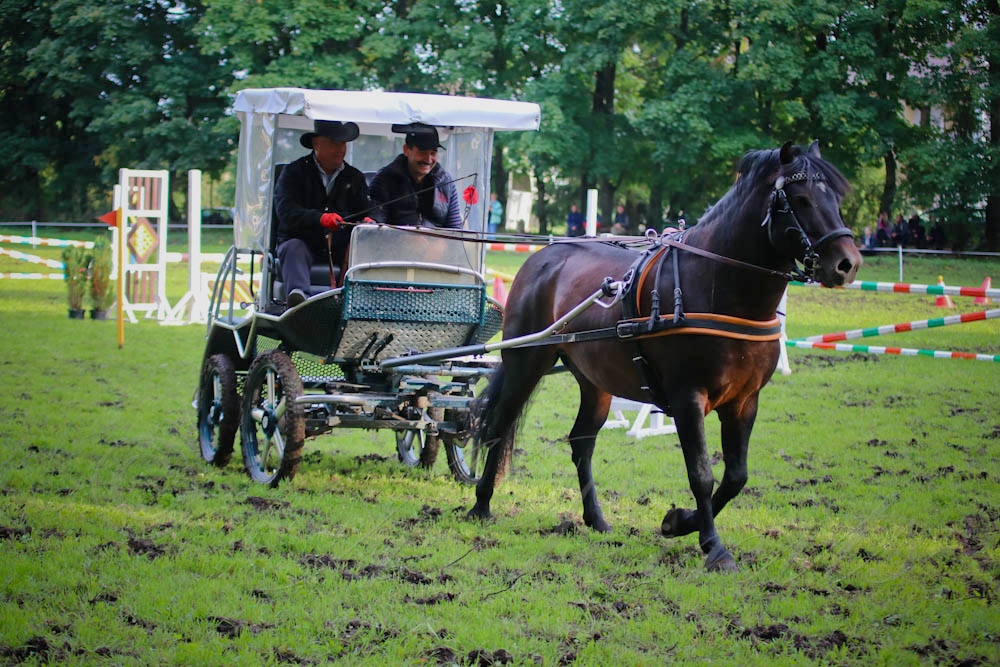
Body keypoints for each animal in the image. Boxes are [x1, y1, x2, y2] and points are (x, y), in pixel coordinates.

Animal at [468, 141, 863, 572]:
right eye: (802, 199)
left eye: (837, 199)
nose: (848, 264)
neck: (716, 284)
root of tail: (545, 256)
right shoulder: (688, 397)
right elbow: (702, 474)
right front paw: (714, 547)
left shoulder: (745, 401)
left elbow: (736, 476)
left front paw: (681, 522)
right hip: (526, 362)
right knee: (500, 426)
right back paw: (481, 505)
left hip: (595, 381)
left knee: (581, 442)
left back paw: (595, 519)